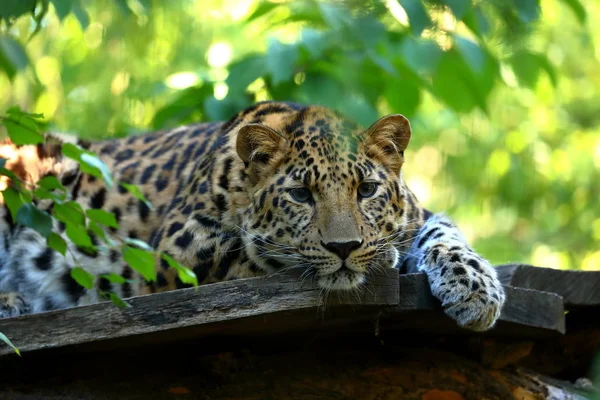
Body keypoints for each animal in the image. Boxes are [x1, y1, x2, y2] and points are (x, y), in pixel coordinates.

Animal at [0, 101, 506, 332]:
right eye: (301, 194)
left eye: (366, 190)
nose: (345, 248)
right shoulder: (177, 249)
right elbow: (259, 252)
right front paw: (379, 261)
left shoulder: (419, 214)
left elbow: (443, 231)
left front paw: (476, 288)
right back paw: (13, 300)